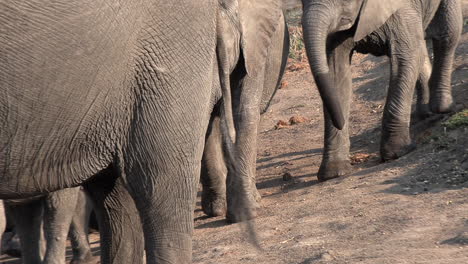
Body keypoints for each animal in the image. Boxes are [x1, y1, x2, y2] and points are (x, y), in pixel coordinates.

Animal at [300, 0, 464, 180]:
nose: (341, 121)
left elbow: (406, 57)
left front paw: (398, 152)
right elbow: (335, 73)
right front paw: (334, 172)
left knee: (447, 33)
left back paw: (443, 108)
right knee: (424, 45)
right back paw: (425, 112)